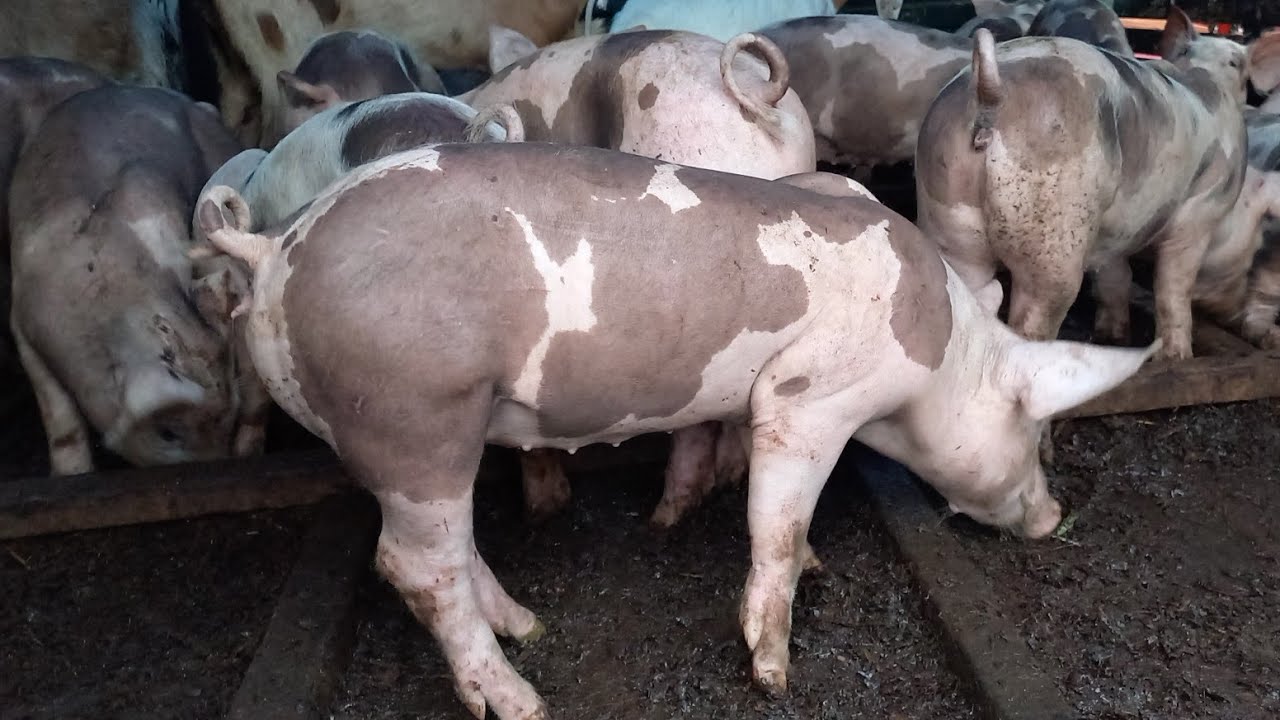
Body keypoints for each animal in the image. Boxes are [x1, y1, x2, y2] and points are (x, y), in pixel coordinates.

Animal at [9, 85, 247, 475]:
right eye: (168, 433)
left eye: (229, 419)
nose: (217, 464)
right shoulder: (22, 324)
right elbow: (59, 417)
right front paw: (72, 474)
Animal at [195, 141, 1156, 720]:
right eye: (1032, 425)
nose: (1050, 519)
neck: (942, 348)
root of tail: (273, 250)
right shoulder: (811, 397)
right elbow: (777, 519)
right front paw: (773, 672)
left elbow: (733, 465)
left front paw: (767, 548)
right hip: (413, 410)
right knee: (411, 564)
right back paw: (520, 698)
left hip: (408, 432)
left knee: (448, 549)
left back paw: (527, 624)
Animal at [915, 10, 1280, 360]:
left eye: (1235, 62)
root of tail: (991, 97)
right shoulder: (1200, 213)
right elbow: (1173, 287)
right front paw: (1178, 357)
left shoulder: (1114, 229)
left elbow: (1115, 276)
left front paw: (1113, 337)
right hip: (1053, 215)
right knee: (1037, 311)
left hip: (947, 211)